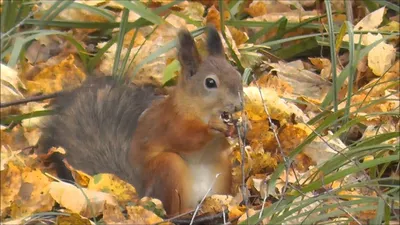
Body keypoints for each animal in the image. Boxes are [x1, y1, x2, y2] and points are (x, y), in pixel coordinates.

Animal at [38, 25, 244, 215]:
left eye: (237, 74)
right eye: (210, 83)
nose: (238, 105)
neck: (200, 110)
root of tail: (143, 194)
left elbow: (223, 144)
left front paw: (240, 127)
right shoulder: (171, 121)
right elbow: (185, 138)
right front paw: (213, 127)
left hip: (222, 170)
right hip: (168, 168)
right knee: (172, 210)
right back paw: (184, 212)